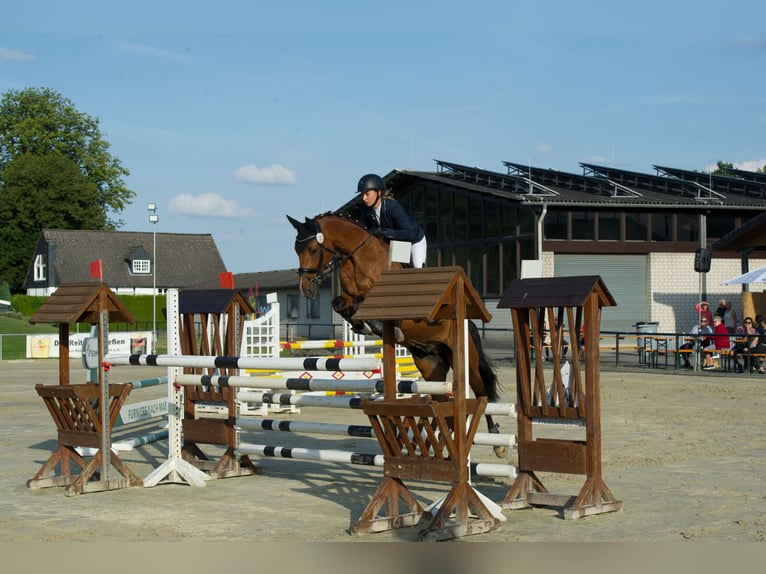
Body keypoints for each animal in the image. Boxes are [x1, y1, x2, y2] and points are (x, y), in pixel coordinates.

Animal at [284, 213, 508, 460]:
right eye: (296, 249)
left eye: (313, 249)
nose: (306, 290)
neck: (358, 258)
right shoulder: (347, 297)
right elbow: (340, 303)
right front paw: (361, 325)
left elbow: (363, 303)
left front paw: (374, 326)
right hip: (432, 366)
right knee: (443, 401)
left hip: (468, 362)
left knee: (481, 394)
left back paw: (498, 442)